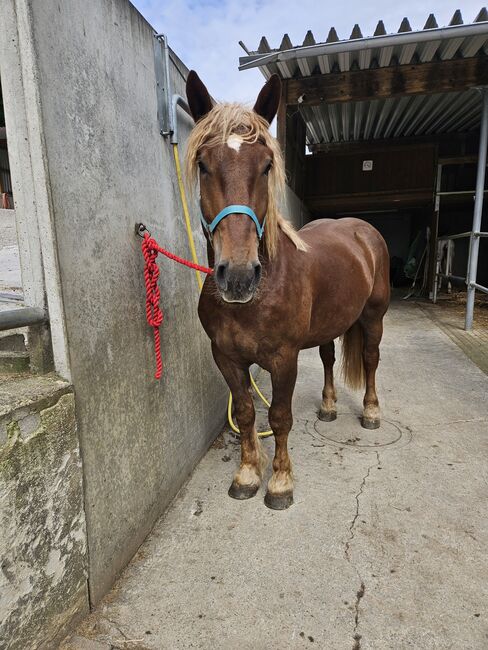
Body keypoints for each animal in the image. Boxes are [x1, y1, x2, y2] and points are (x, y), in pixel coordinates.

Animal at [185, 69, 390, 506]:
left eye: (265, 166)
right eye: (204, 164)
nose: (239, 276)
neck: (254, 298)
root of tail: (362, 230)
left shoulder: (284, 359)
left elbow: (279, 417)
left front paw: (279, 482)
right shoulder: (226, 357)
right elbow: (246, 413)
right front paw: (247, 475)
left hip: (373, 318)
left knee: (369, 359)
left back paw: (371, 412)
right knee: (329, 358)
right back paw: (328, 406)